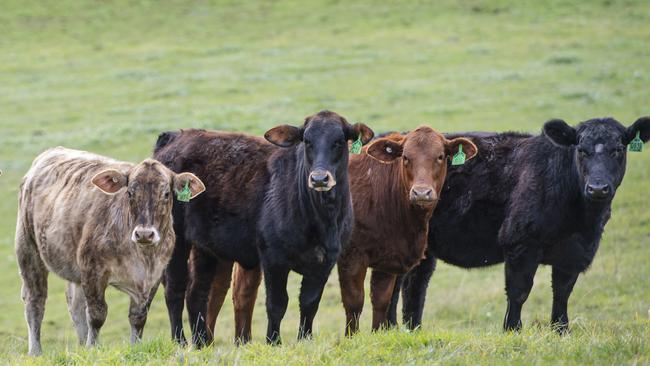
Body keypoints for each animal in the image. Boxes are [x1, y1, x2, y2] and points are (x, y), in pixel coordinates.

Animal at [15, 147, 202, 356]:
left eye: (167, 193)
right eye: (129, 193)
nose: (145, 234)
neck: (143, 256)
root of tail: (51, 152)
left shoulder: (154, 276)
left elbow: (138, 318)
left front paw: (134, 348)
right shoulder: (93, 270)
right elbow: (97, 314)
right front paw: (93, 348)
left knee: (75, 305)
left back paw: (81, 345)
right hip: (28, 249)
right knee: (35, 301)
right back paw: (36, 351)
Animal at [336, 126, 474, 334]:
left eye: (440, 156)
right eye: (406, 157)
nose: (421, 192)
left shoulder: (387, 259)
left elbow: (381, 301)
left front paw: (377, 334)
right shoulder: (351, 256)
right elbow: (354, 302)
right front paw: (351, 338)